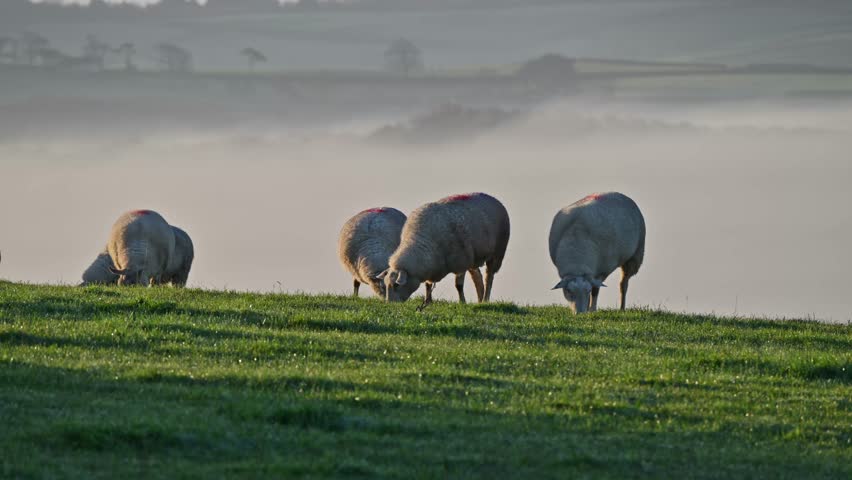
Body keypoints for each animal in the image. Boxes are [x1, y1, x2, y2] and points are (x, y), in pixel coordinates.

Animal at [379, 192, 510, 305]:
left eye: (396, 285)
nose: (390, 304)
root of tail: (492, 198)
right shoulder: (431, 266)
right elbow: (427, 284)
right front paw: (428, 301)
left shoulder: (461, 262)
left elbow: (458, 286)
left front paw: (462, 302)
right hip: (473, 257)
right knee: (477, 275)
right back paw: (480, 299)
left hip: (497, 252)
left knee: (489, 277)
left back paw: (485, 299)